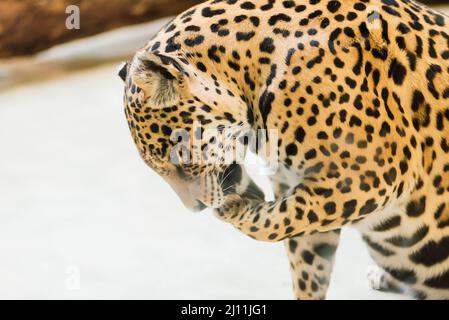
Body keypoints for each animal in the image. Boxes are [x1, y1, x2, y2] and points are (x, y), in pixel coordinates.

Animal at [117, 0, 448, 300]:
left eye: (179, 161)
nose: (194, 207)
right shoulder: (301, 186)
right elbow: (304, 257)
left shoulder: (374, 175)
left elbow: (280, 220)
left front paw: (235, 210)